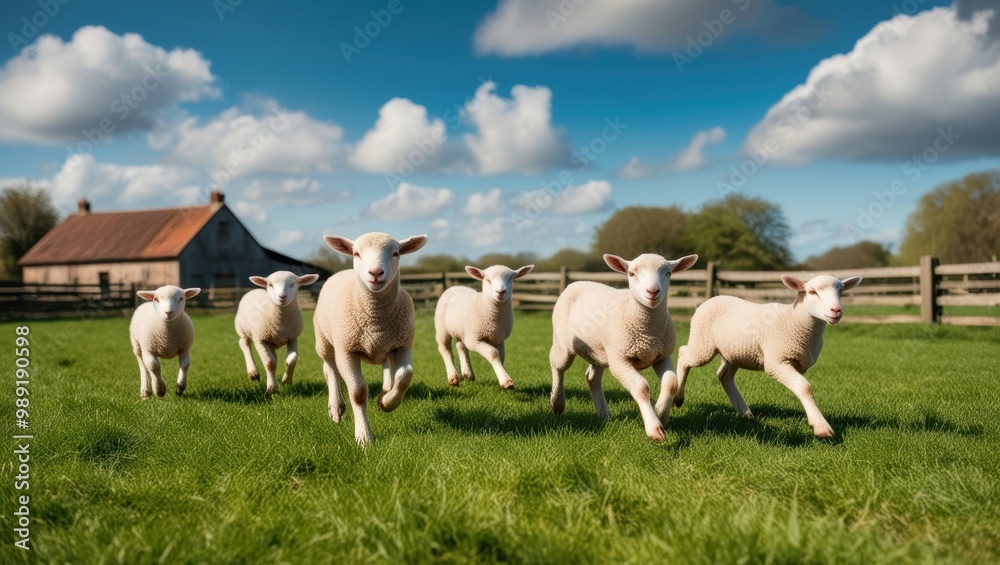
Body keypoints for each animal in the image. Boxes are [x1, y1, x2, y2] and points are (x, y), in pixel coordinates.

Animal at [313, 232, 428, 445]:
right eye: (356, 253)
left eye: (396, 253)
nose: (375, 273)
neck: (375, 319)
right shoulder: (346, 350)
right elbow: (358, 392)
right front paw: (364, 437)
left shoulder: (403, 345)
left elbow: (405, 376)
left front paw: (386, 402)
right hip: (324, 340)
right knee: (330, 368)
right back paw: (336, 407)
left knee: (387, 366)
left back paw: (386, 389)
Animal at [549, 252, 698, 442]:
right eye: (632, 274)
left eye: (668, 273)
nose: (653, 291)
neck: (647, 331)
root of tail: (578, 282)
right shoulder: (619, 360)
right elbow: (641, 387)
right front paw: (654, 428)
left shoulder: (662, 355)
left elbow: (671, 383)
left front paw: (660, 414)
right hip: (563, 343)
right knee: (558, 366)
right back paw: (557, 403)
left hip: (600, 351)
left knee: (592, 378)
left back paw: (604, 412)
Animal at [674, 274, 863, 438]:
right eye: (812, 292)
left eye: (841, 292)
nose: (836, 310)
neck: (795, 320)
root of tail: (711, 300)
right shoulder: (776, 362)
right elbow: (805, 388)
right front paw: (821, 426)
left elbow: (802, 387)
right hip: (702, 343)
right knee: (683, 355)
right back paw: (678, 397)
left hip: (735, 351)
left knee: (724, 376)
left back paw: (745, 412)